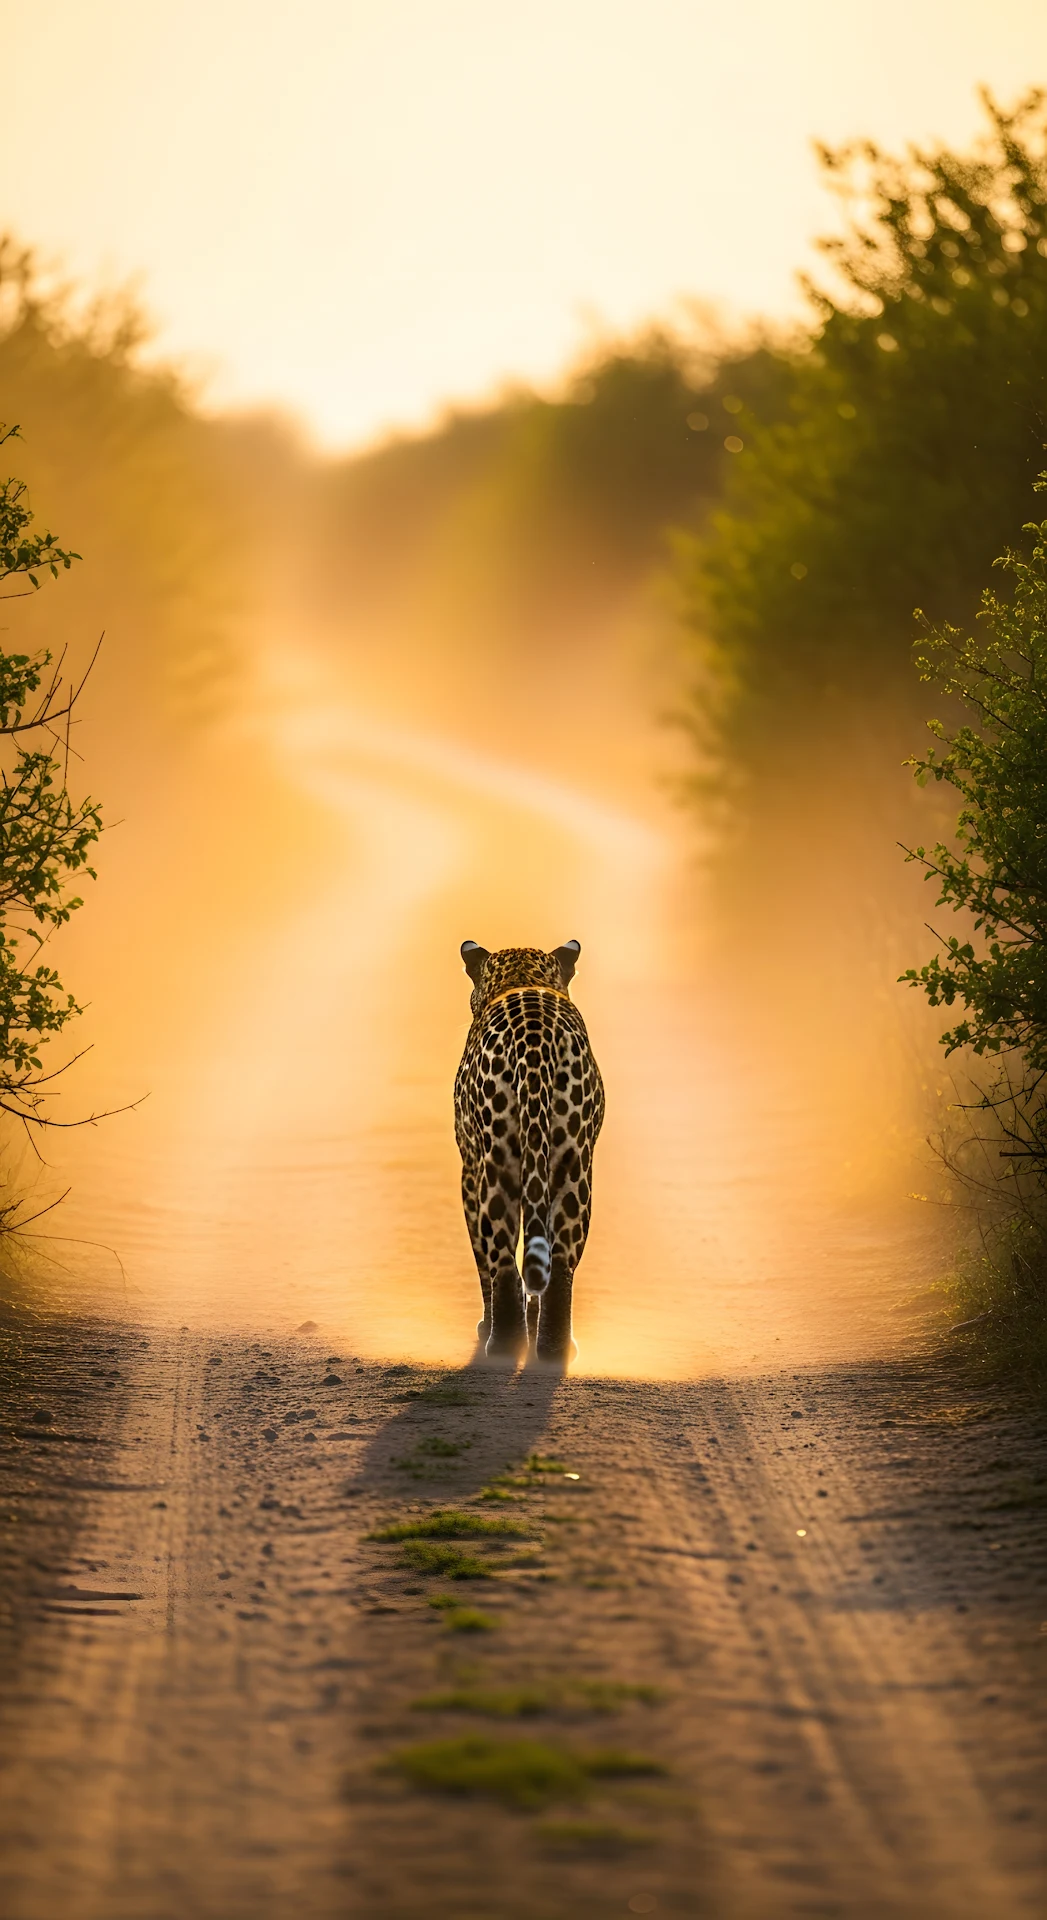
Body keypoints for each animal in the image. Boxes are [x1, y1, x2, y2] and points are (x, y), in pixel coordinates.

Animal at [454, 938, 604, 1365]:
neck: (521, 977)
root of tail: (533, 1038)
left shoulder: (468, 1170)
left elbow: (482, 1259)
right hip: (574, 1167)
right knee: (561, 1261)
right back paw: (553, 1348)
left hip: (495, 1166)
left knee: (502, 1258)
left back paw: (503, 1343)